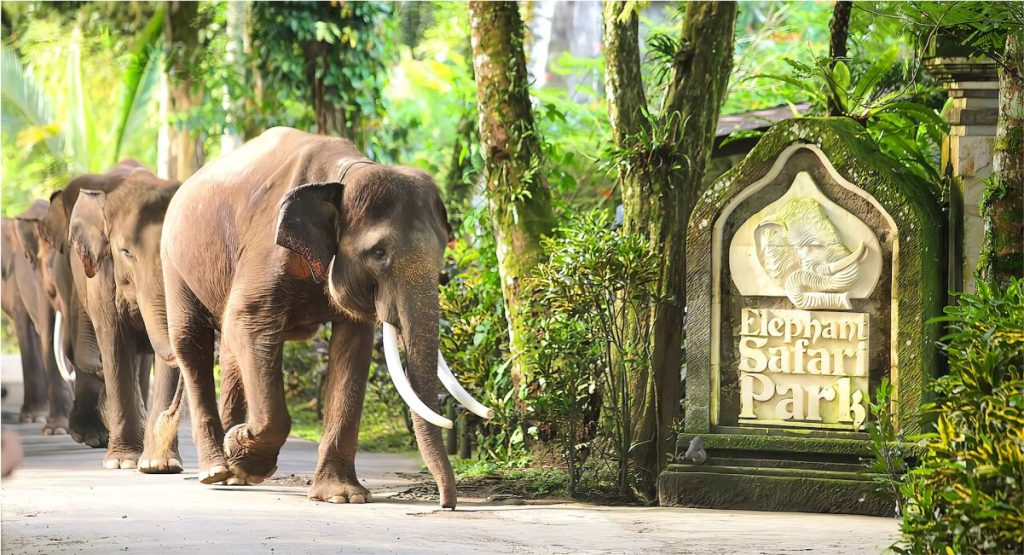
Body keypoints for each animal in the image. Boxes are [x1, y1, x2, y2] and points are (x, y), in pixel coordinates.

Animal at [161, 127, 492, 508]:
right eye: (378, 252)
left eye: (442, 252)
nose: (446, 503)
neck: (344, 174)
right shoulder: (266, 248)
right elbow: (250, 321)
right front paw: (243, 448)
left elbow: (352, 345)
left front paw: (342, 497)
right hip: (173, 262)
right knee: (192, 343)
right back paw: (217, 469)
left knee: (229, 350)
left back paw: (234, 474)